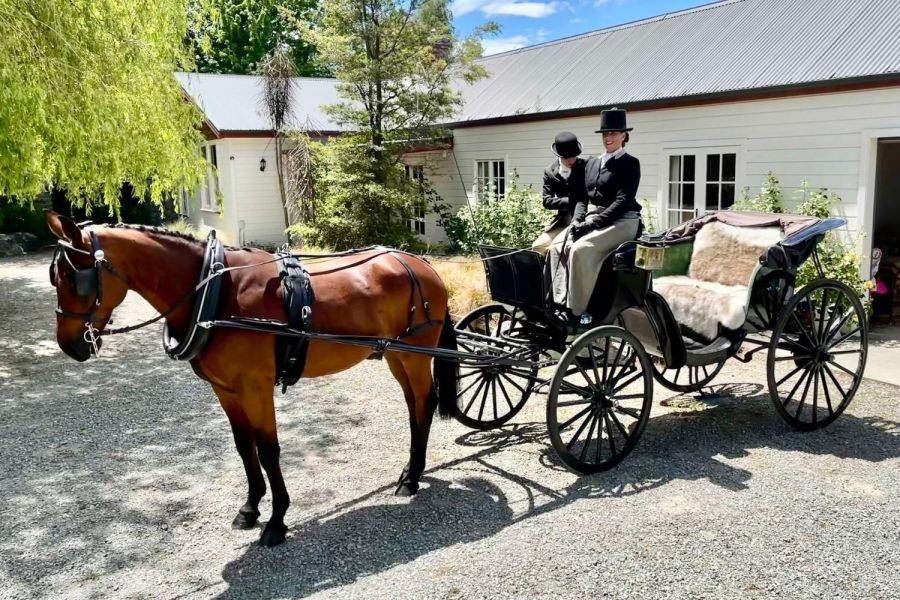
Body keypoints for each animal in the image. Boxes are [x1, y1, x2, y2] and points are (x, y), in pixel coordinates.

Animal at [44, 210, 459, 547]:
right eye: (55, 278)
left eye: (75, 279)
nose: (69, 345)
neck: (214, 294)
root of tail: (421, 264)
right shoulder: (226, 390)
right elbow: (245, 447)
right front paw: (250, 507)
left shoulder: (256, 388)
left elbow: (268, 450)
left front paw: (277, 520)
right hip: (397, 355)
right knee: (414, 406)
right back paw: (410, 470)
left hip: (415, 353)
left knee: (424, 403)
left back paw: (412, 477)